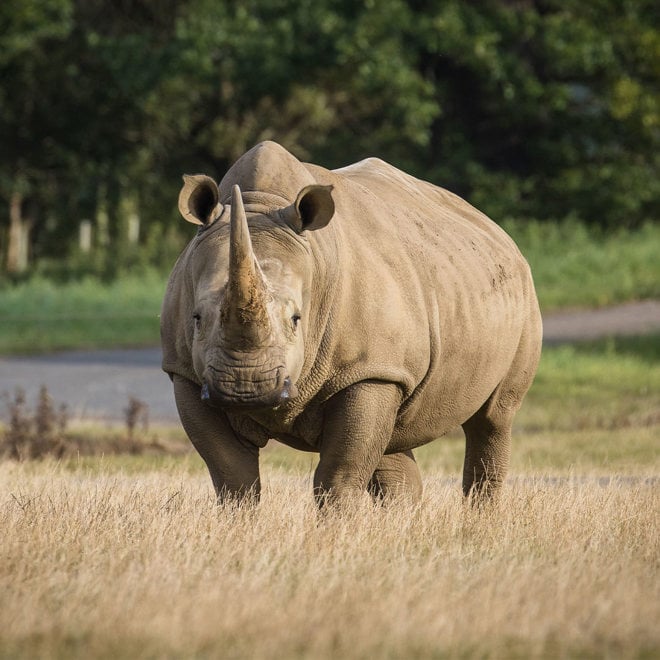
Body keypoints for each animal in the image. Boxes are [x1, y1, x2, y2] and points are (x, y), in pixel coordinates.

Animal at [161, 141, 540, 506]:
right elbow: (232, 476)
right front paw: (240, 522)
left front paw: (337, 525)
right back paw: (404, 521)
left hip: (519, 294)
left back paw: (480, 517)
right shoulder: (187, 373)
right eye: (197, 318)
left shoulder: (367, 371)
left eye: (296, 319)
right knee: (394, 437)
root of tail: (497, 230)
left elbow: (340, 473)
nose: (245, 386)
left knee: (492, 419)